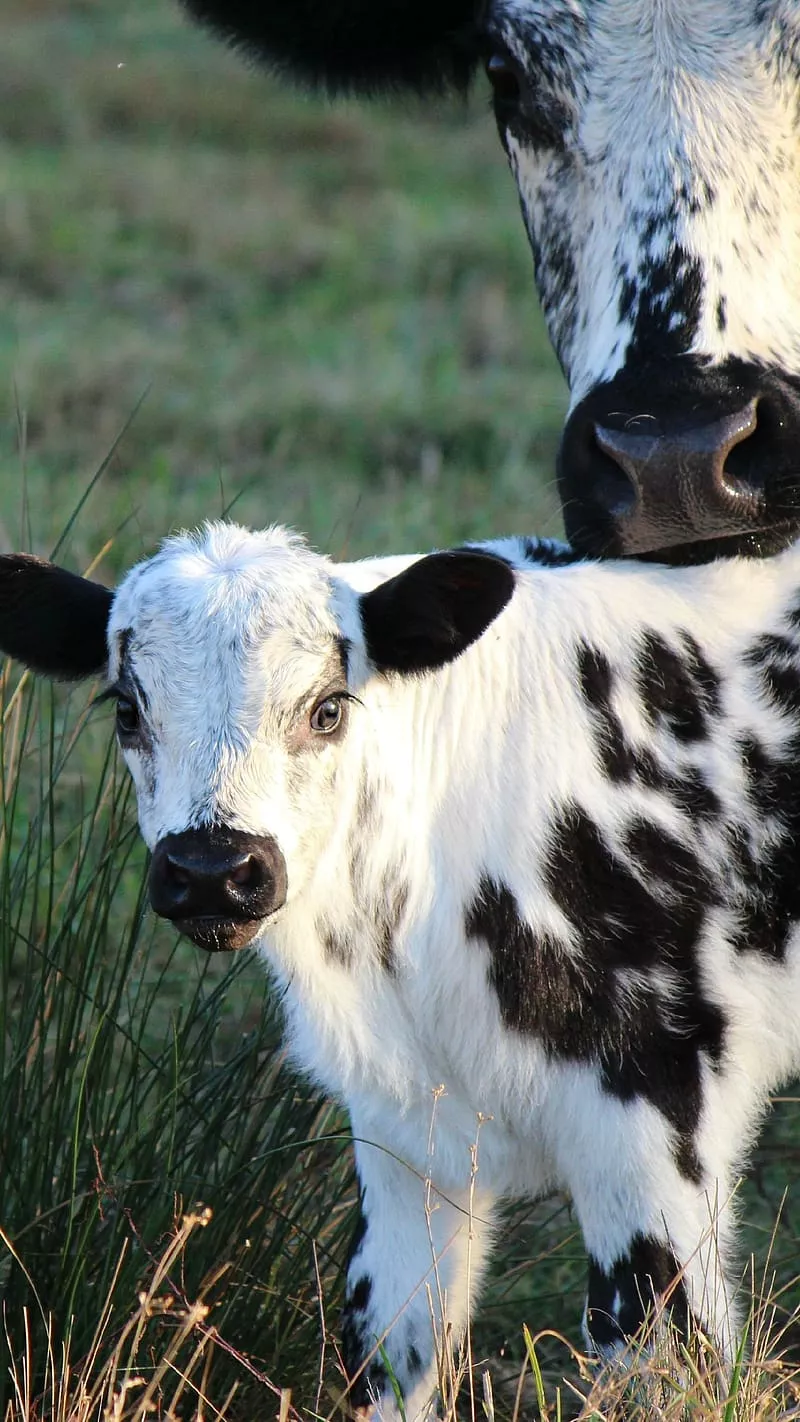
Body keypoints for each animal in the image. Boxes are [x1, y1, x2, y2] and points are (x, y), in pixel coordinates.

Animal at [2, 522, 800, 1415]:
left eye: (327, 708)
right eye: (127, 708)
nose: (213, 870)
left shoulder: (654, 1115)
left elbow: (672, 1363)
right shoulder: (403, 1135)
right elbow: (393, 1346)